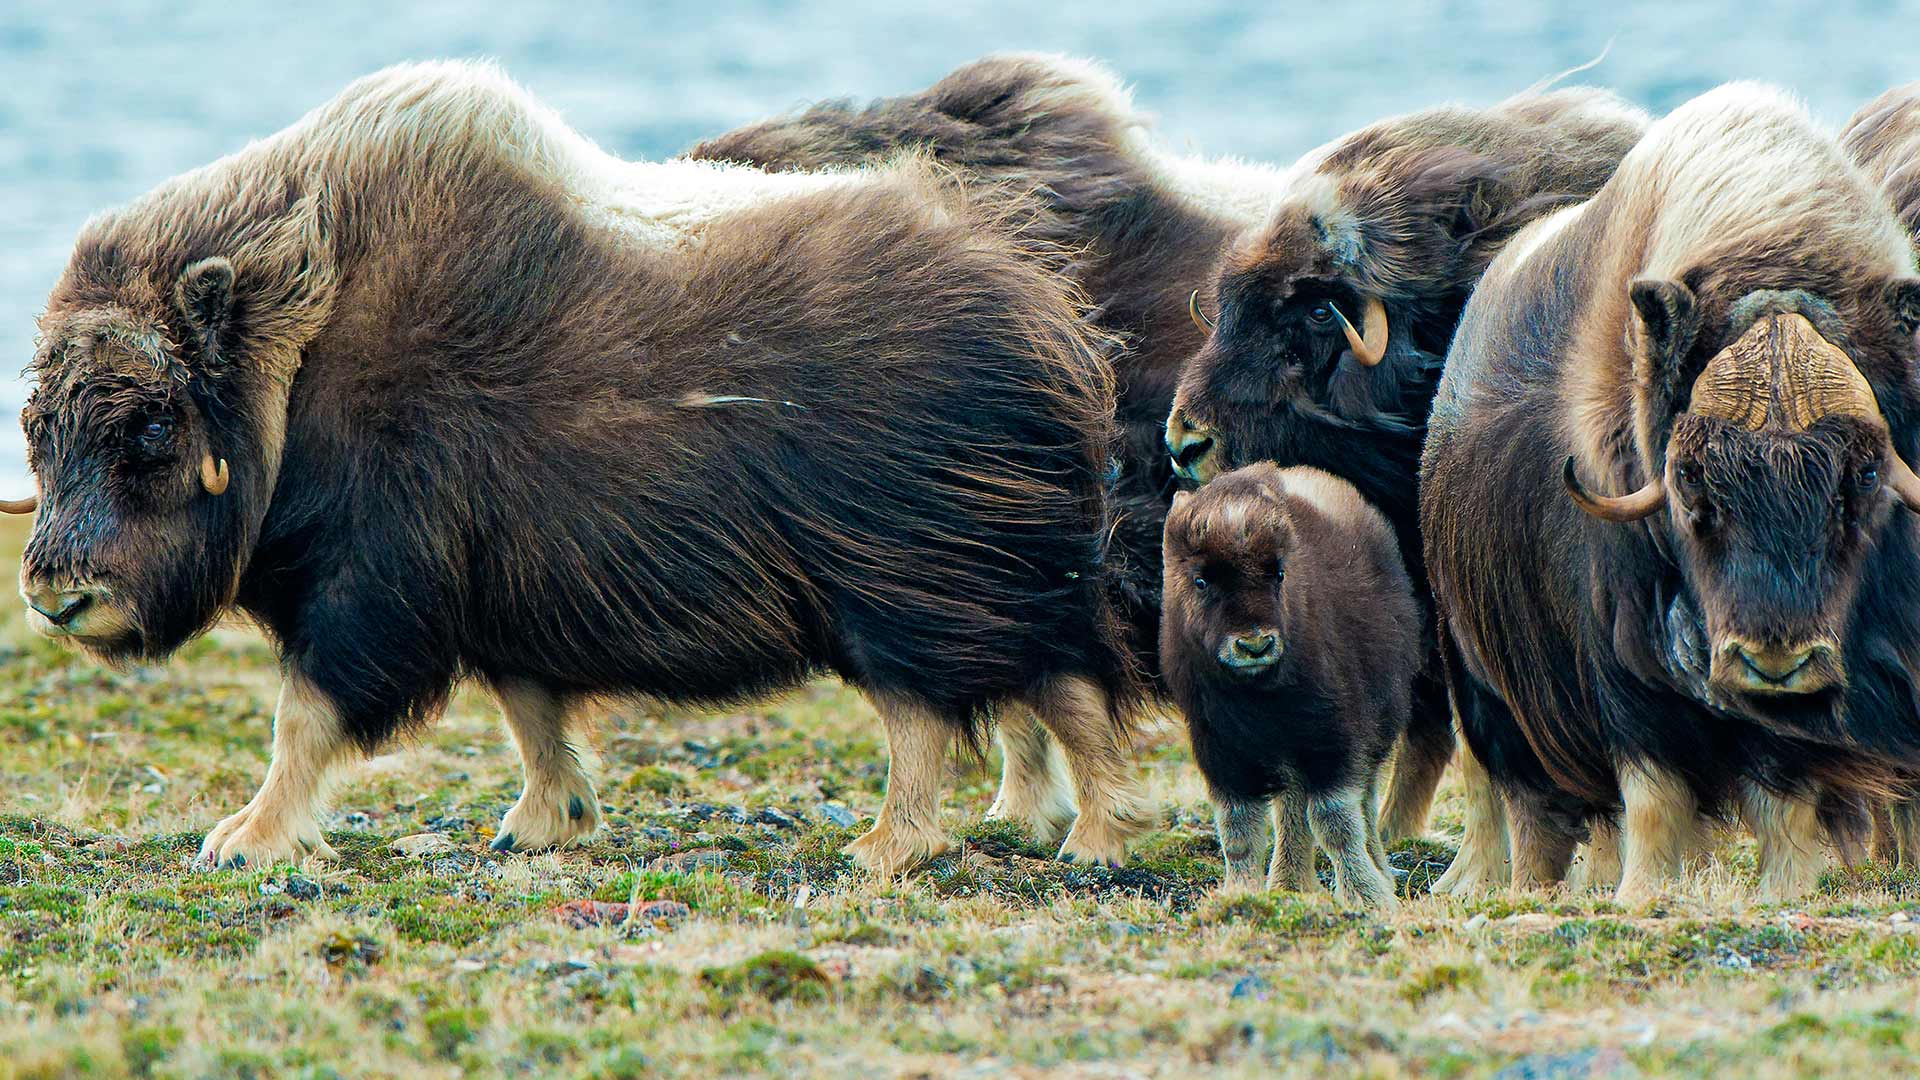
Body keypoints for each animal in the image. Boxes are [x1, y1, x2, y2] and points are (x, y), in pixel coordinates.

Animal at [11, 62, 1136, 876]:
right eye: (35, 428)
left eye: (152, 428)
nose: (58, 597)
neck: (297, 358)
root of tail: (1043, 308)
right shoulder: (503, 590)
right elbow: (531, 709)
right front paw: (547, 821)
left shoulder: (371, 584)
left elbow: (305, 717)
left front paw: (244, 838)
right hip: (978, 581)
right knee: (1044, 697)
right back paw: (1050, 830)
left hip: (908, 584)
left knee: (955, 713)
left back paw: (941, 846)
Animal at [1152, 463, 1428, 907]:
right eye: (1201, 580)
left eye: (1279, 572)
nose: (1255, 645)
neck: (1258, 695)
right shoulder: (1222, 749)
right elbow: (1238, 829)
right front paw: (1239, 894)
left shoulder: (1331, 740)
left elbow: (1334, 820)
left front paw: (1367, 897)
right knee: (1291, 806)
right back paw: (1289, 883)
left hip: (1376, 726)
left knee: (1363, 802)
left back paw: (1375, 872)